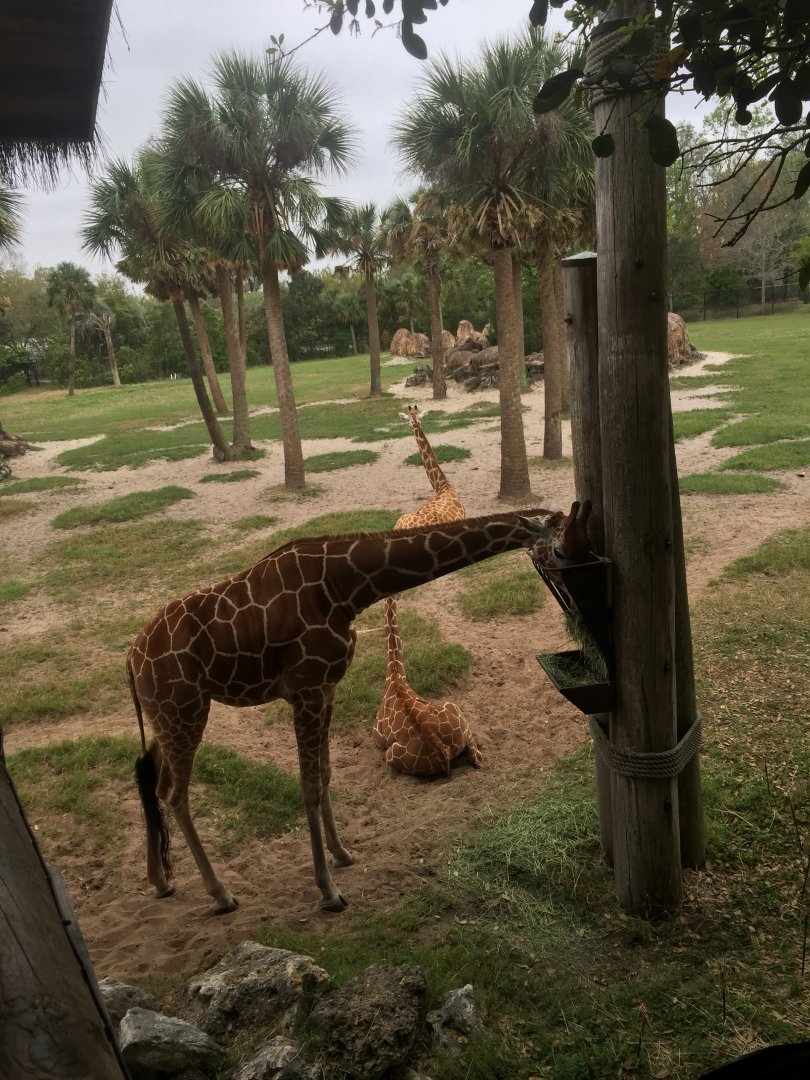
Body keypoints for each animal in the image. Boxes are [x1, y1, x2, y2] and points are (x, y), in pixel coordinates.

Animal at [373, 594, 483, 776]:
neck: (394, 673)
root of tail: (443, 749)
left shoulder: (377, 737)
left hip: (388, 754)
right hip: (455, 711)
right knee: (477, 759)